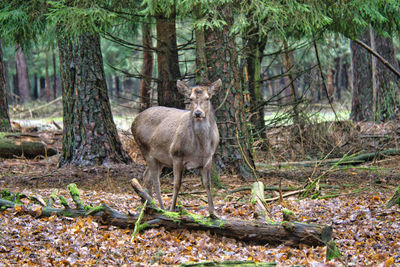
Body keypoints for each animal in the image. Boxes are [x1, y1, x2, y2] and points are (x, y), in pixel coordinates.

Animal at [132, 78, 222, 219]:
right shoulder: (176, 155)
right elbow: (177, 184)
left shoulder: (208, 159)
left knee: (147, 177)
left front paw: (213, 213)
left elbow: (207, 183)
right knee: (155, 180)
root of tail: (133, 122)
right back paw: (160, 207)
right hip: (145, 149)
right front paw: (172, 209)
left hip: (160, 159)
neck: (200, 149)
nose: (198, 113)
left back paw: (148, 205)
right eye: (190, 98)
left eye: (208, 98)